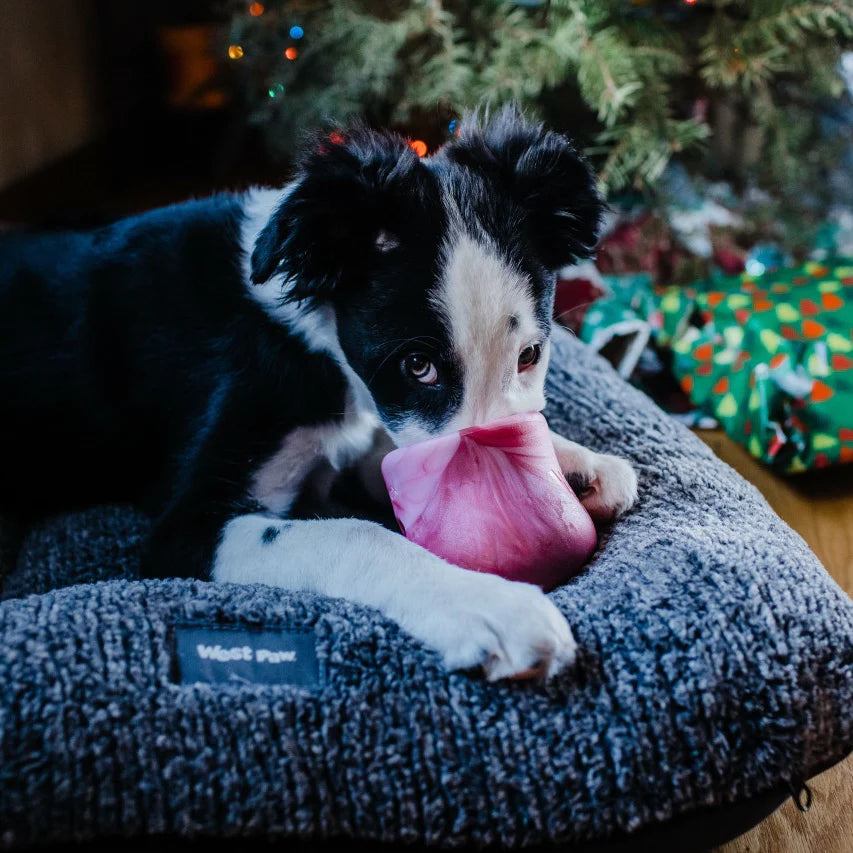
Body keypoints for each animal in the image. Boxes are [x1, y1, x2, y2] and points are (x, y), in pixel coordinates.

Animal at [0, 106, 637, 681]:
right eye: (418, 366)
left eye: (529, 355)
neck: (309, 331)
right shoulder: (186, 527)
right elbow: (353, 533)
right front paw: (492, 606)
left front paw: (579, 464)